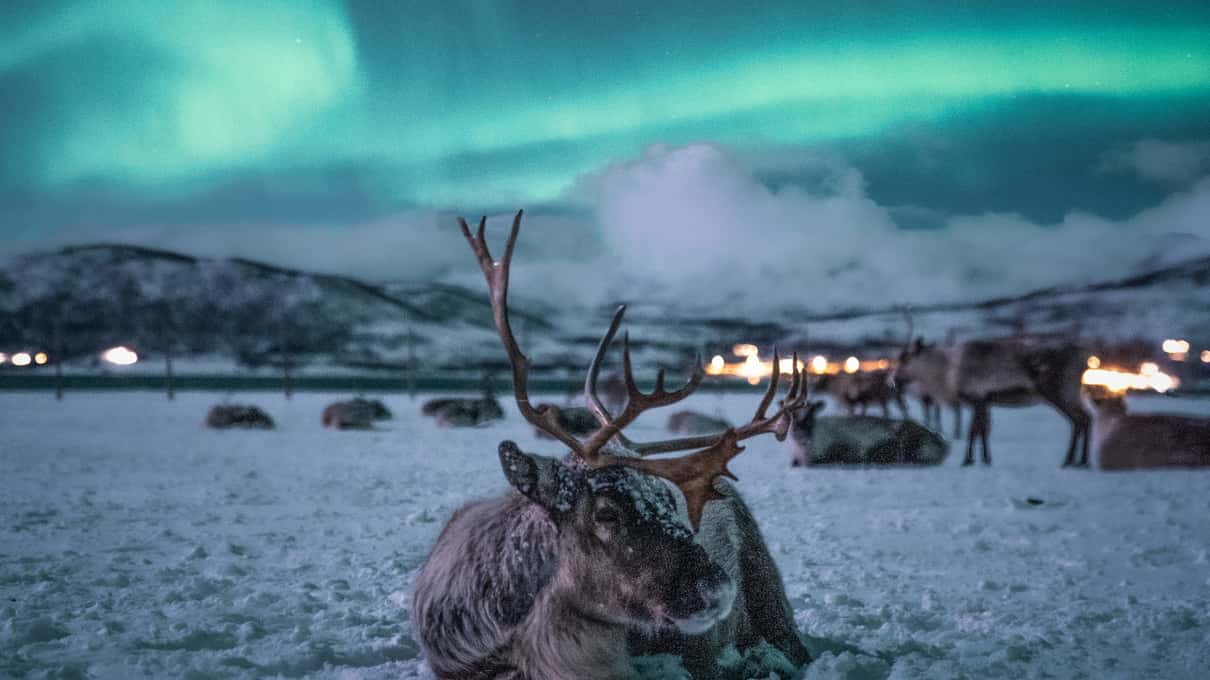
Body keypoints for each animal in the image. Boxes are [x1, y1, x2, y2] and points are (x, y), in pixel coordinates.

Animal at [892, 311, 1090, 467]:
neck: (947, 371)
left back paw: (1071, 461)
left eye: (905, 359)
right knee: (1084, 419)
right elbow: (983, 431)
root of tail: (1083, 358)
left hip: (1058, 392)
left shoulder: (976, 399)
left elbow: (973, 431)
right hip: (1070, 394)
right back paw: (1080, 461)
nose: (894, 380)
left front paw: (967, 460)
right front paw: (985, 460)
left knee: (1079, 419)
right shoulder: (985, 401)